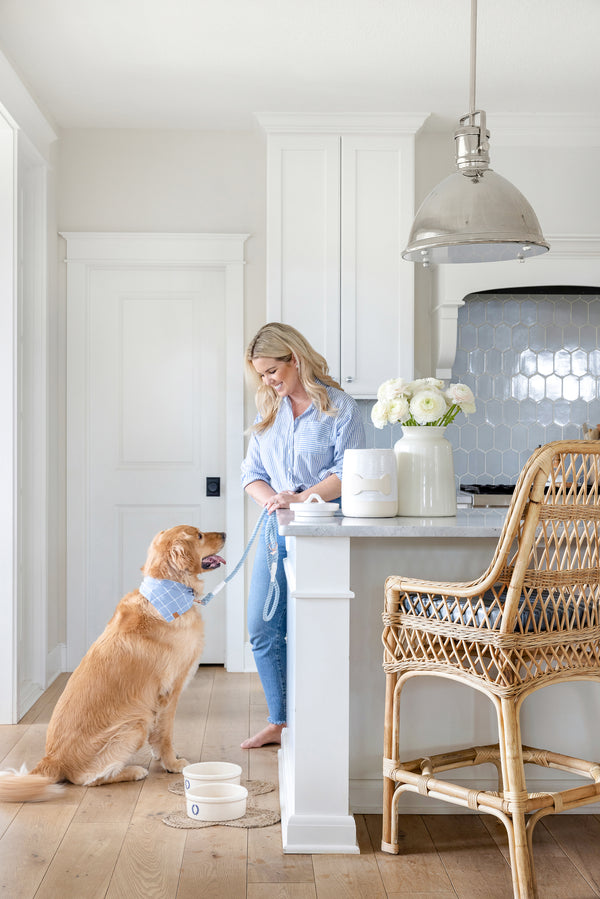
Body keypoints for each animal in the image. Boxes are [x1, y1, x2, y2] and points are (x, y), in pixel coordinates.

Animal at [0, 524, 225, 804]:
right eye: (200, 536)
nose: (225, 534)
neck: (168, 594)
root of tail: (52, 759)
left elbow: (158, 734)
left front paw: (161, 756)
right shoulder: (169, 692)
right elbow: (165, 733)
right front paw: (172, 763)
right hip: (135, 722)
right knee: (88, 779)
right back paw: (133, 771)